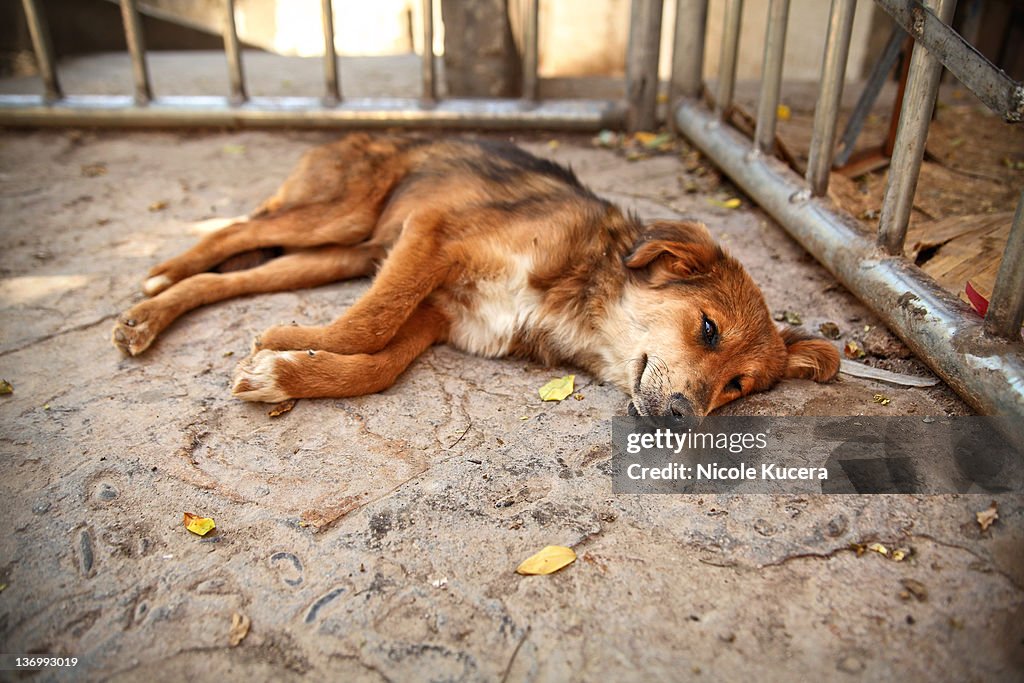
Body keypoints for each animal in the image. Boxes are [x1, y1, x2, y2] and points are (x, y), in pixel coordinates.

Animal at [112, 131, 835, 413]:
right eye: (708, 329)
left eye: (739, 387)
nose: (684, 418)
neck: (582, 294)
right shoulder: (433, 236)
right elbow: (370, 321)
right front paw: (283, 342)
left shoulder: (439, 316)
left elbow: (378, 363)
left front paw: (284, 370)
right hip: (341, 215)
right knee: (233, 230)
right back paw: (156, 281)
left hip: (345, 253)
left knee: (232, 277)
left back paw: (150, 313)